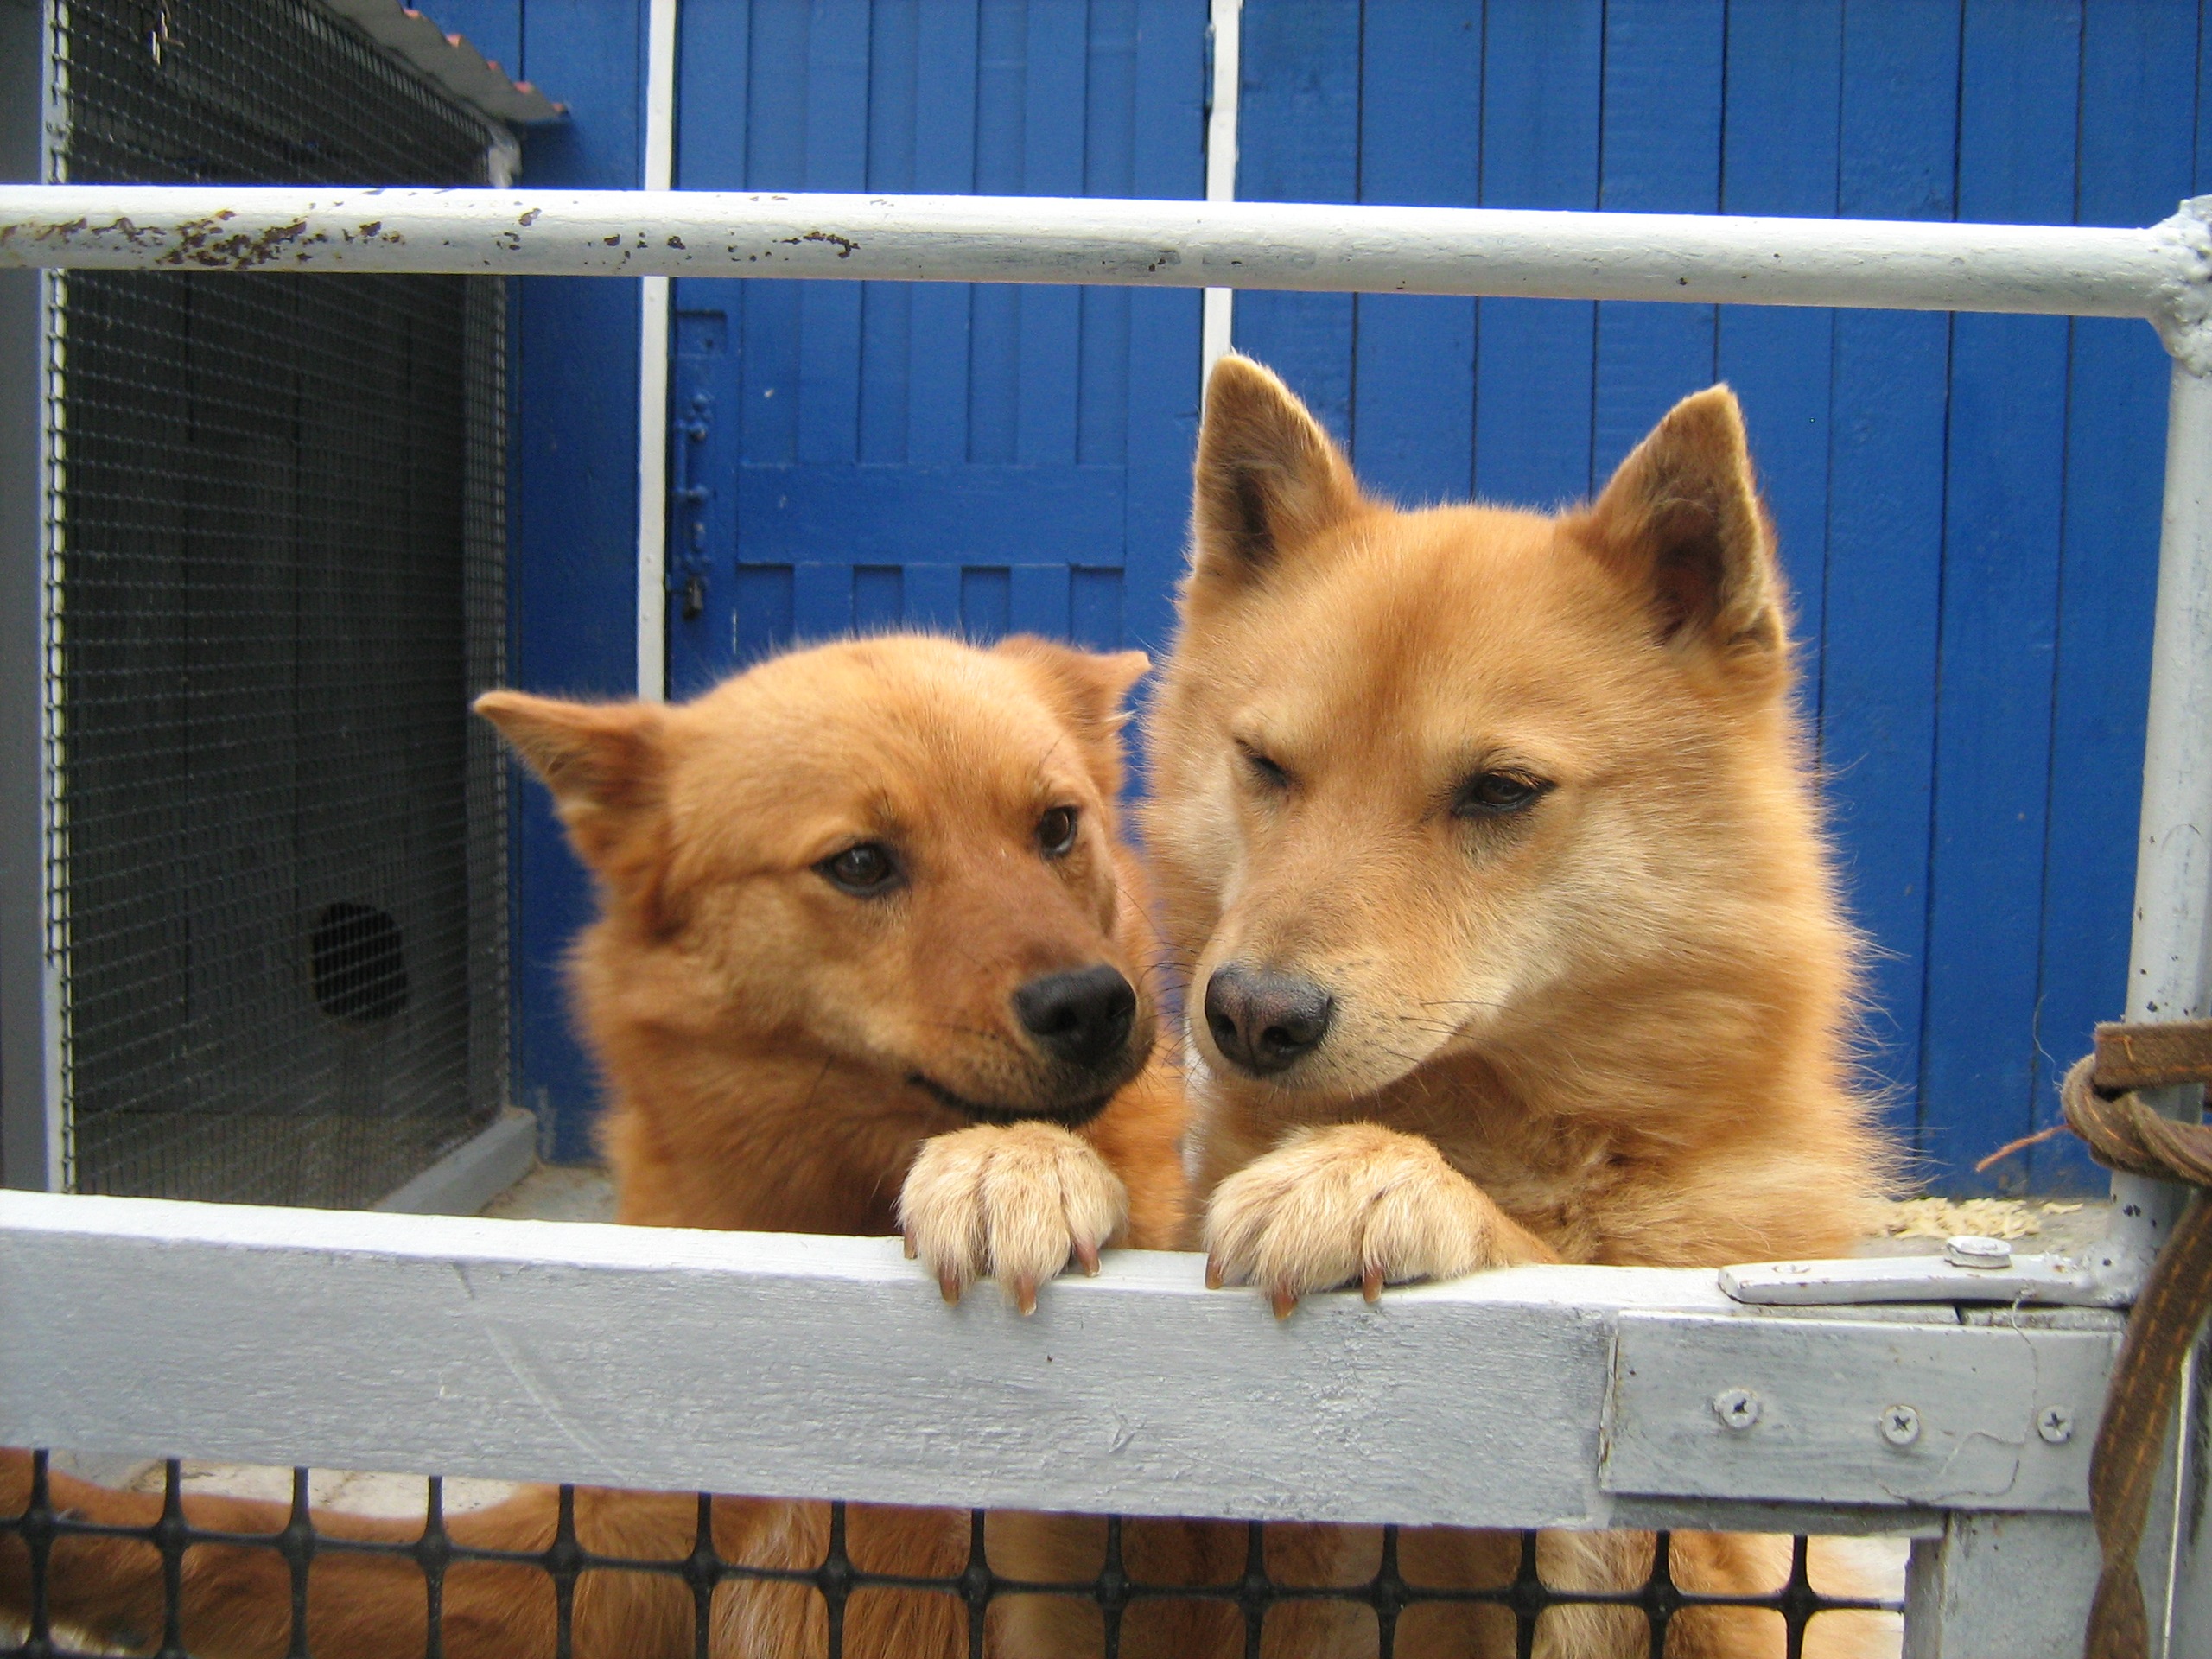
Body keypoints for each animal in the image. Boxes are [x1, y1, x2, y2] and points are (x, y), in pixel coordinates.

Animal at [1, 632, 1187, 1659]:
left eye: (1056, 828)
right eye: (860, 863)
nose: (1092, 1005)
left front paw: (1016, 1164)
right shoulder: (595, 1567)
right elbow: (232, 1544)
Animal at [1130, 356, 1897, 1658]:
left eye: (1499, 791)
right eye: (1266, 765)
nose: (1249, 1014)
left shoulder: (1726, 1569)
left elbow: (1555, 1296)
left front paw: (1385, 1182)